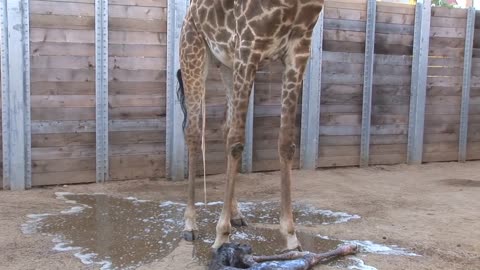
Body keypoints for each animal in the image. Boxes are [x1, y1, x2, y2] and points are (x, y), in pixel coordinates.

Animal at [178, 0, 324, 251]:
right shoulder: (249, 44)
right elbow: (237, 142)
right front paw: (222, 236)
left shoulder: (299, 48)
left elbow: (286, 143)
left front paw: (291, 236)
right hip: (193, 52)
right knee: (194, 132)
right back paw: (190, 224)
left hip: (227, 64)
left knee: (225, 125)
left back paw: (236, 214)